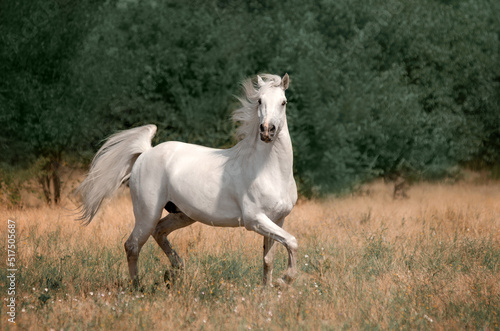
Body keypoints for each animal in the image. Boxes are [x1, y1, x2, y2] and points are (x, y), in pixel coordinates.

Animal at [77, 74, 296, 286]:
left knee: (159, 232)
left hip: (182, 214)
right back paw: (138, 287)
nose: (267, 131)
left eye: (283, 102)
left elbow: (268, 259)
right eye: (259, 101)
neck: (269, 171)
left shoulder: (278, 219)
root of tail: (146, 152)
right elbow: (292, 242)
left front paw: (268, 290)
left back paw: (176, 269)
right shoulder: (255, 219)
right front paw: (283, 280)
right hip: (147, 213)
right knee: (132, 245)